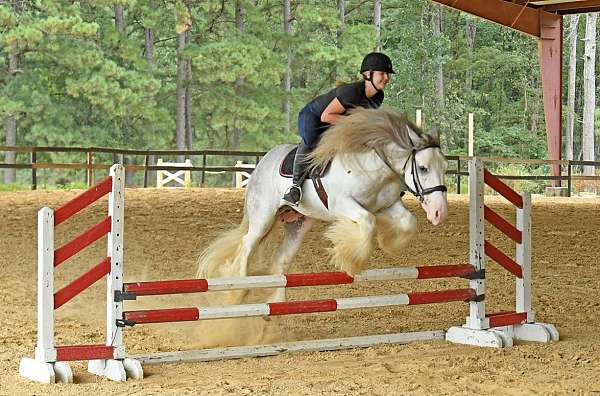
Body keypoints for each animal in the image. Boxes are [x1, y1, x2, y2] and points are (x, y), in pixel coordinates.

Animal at [199, 106, 448, 302]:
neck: (374, 167)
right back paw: (237, 291)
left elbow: (408, 221)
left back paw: (276, 305)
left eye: (444, 168)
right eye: (423, 168)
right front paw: (350, 260)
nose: (440, 212)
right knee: (246, 244)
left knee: (281, 260)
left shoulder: (387, 206)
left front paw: (389, 244)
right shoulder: (343, 205)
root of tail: (263, 162)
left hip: (297, 223)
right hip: (263, 217)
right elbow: (368, 222)